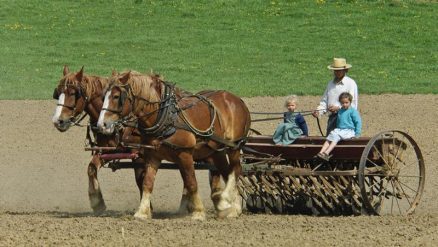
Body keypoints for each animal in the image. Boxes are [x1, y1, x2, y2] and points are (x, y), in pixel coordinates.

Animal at [52, 65, 143, 214]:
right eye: (57, 93)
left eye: (73, 93)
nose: (57, 121)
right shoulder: (107, 150)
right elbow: (91, 168)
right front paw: (97, 202)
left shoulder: (140, 153)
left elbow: (141, 179)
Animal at [97, 71, 252, 220]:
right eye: (103, 96)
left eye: (116, 96)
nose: (101, 124)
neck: (164, 117)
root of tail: (238, 99)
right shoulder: (153, 156)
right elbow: (147, 183)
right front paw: (141, 212)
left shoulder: (185, 154)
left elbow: (191, 183)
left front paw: (198, 213)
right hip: (216, 151)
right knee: (227, 172)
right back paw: (233, 208)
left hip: (234, 146)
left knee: (236, 170)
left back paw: (225, 199)